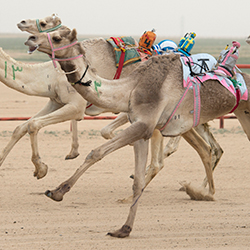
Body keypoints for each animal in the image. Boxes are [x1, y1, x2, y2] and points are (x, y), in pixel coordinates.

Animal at [23, 28, 250, 237]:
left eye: (57, 37)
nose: (30, 39)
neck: (130, 89)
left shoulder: (144, 125)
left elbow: (96, 152)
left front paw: (57, 191)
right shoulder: (142, 131)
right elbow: (138, 181)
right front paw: (123, 229)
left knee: (208, 150)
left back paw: (205, 193)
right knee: (208, 150)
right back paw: (204, 192)